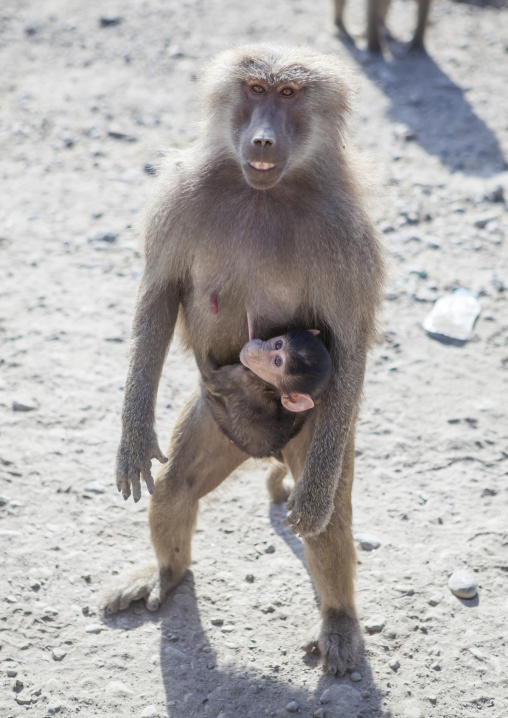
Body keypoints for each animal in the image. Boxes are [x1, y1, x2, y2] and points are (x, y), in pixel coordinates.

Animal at [201, 327, 332, 458]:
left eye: (277, 361)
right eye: (278, 344)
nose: (253, 350)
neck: (271, 389)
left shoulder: (242, 379)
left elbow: (210, 380)